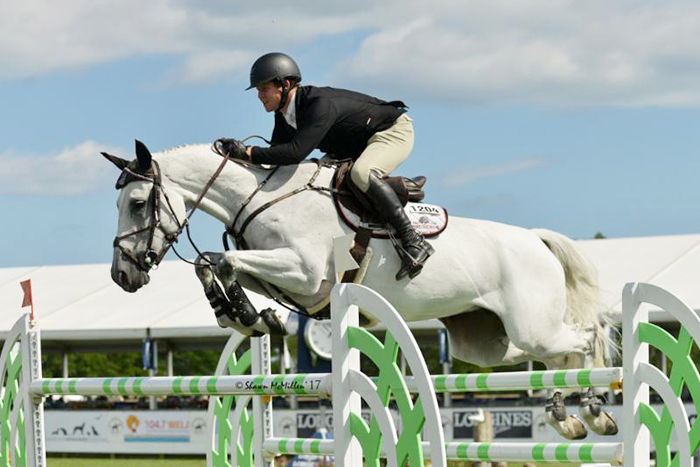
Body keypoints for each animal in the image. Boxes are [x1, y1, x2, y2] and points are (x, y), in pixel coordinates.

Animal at [102, 141, 616, 440]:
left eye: (137, 203)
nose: (122, 276)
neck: (260, 197)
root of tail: (535, 238)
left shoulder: (307, 273)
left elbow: (221, 260)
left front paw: (244, 315)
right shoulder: (287, 276)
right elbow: (212, 263)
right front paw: (250, 316)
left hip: (532, 325)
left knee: (585, 339)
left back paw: (594, 410)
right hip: (487, 343)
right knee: (553, 357)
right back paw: (565, 417)